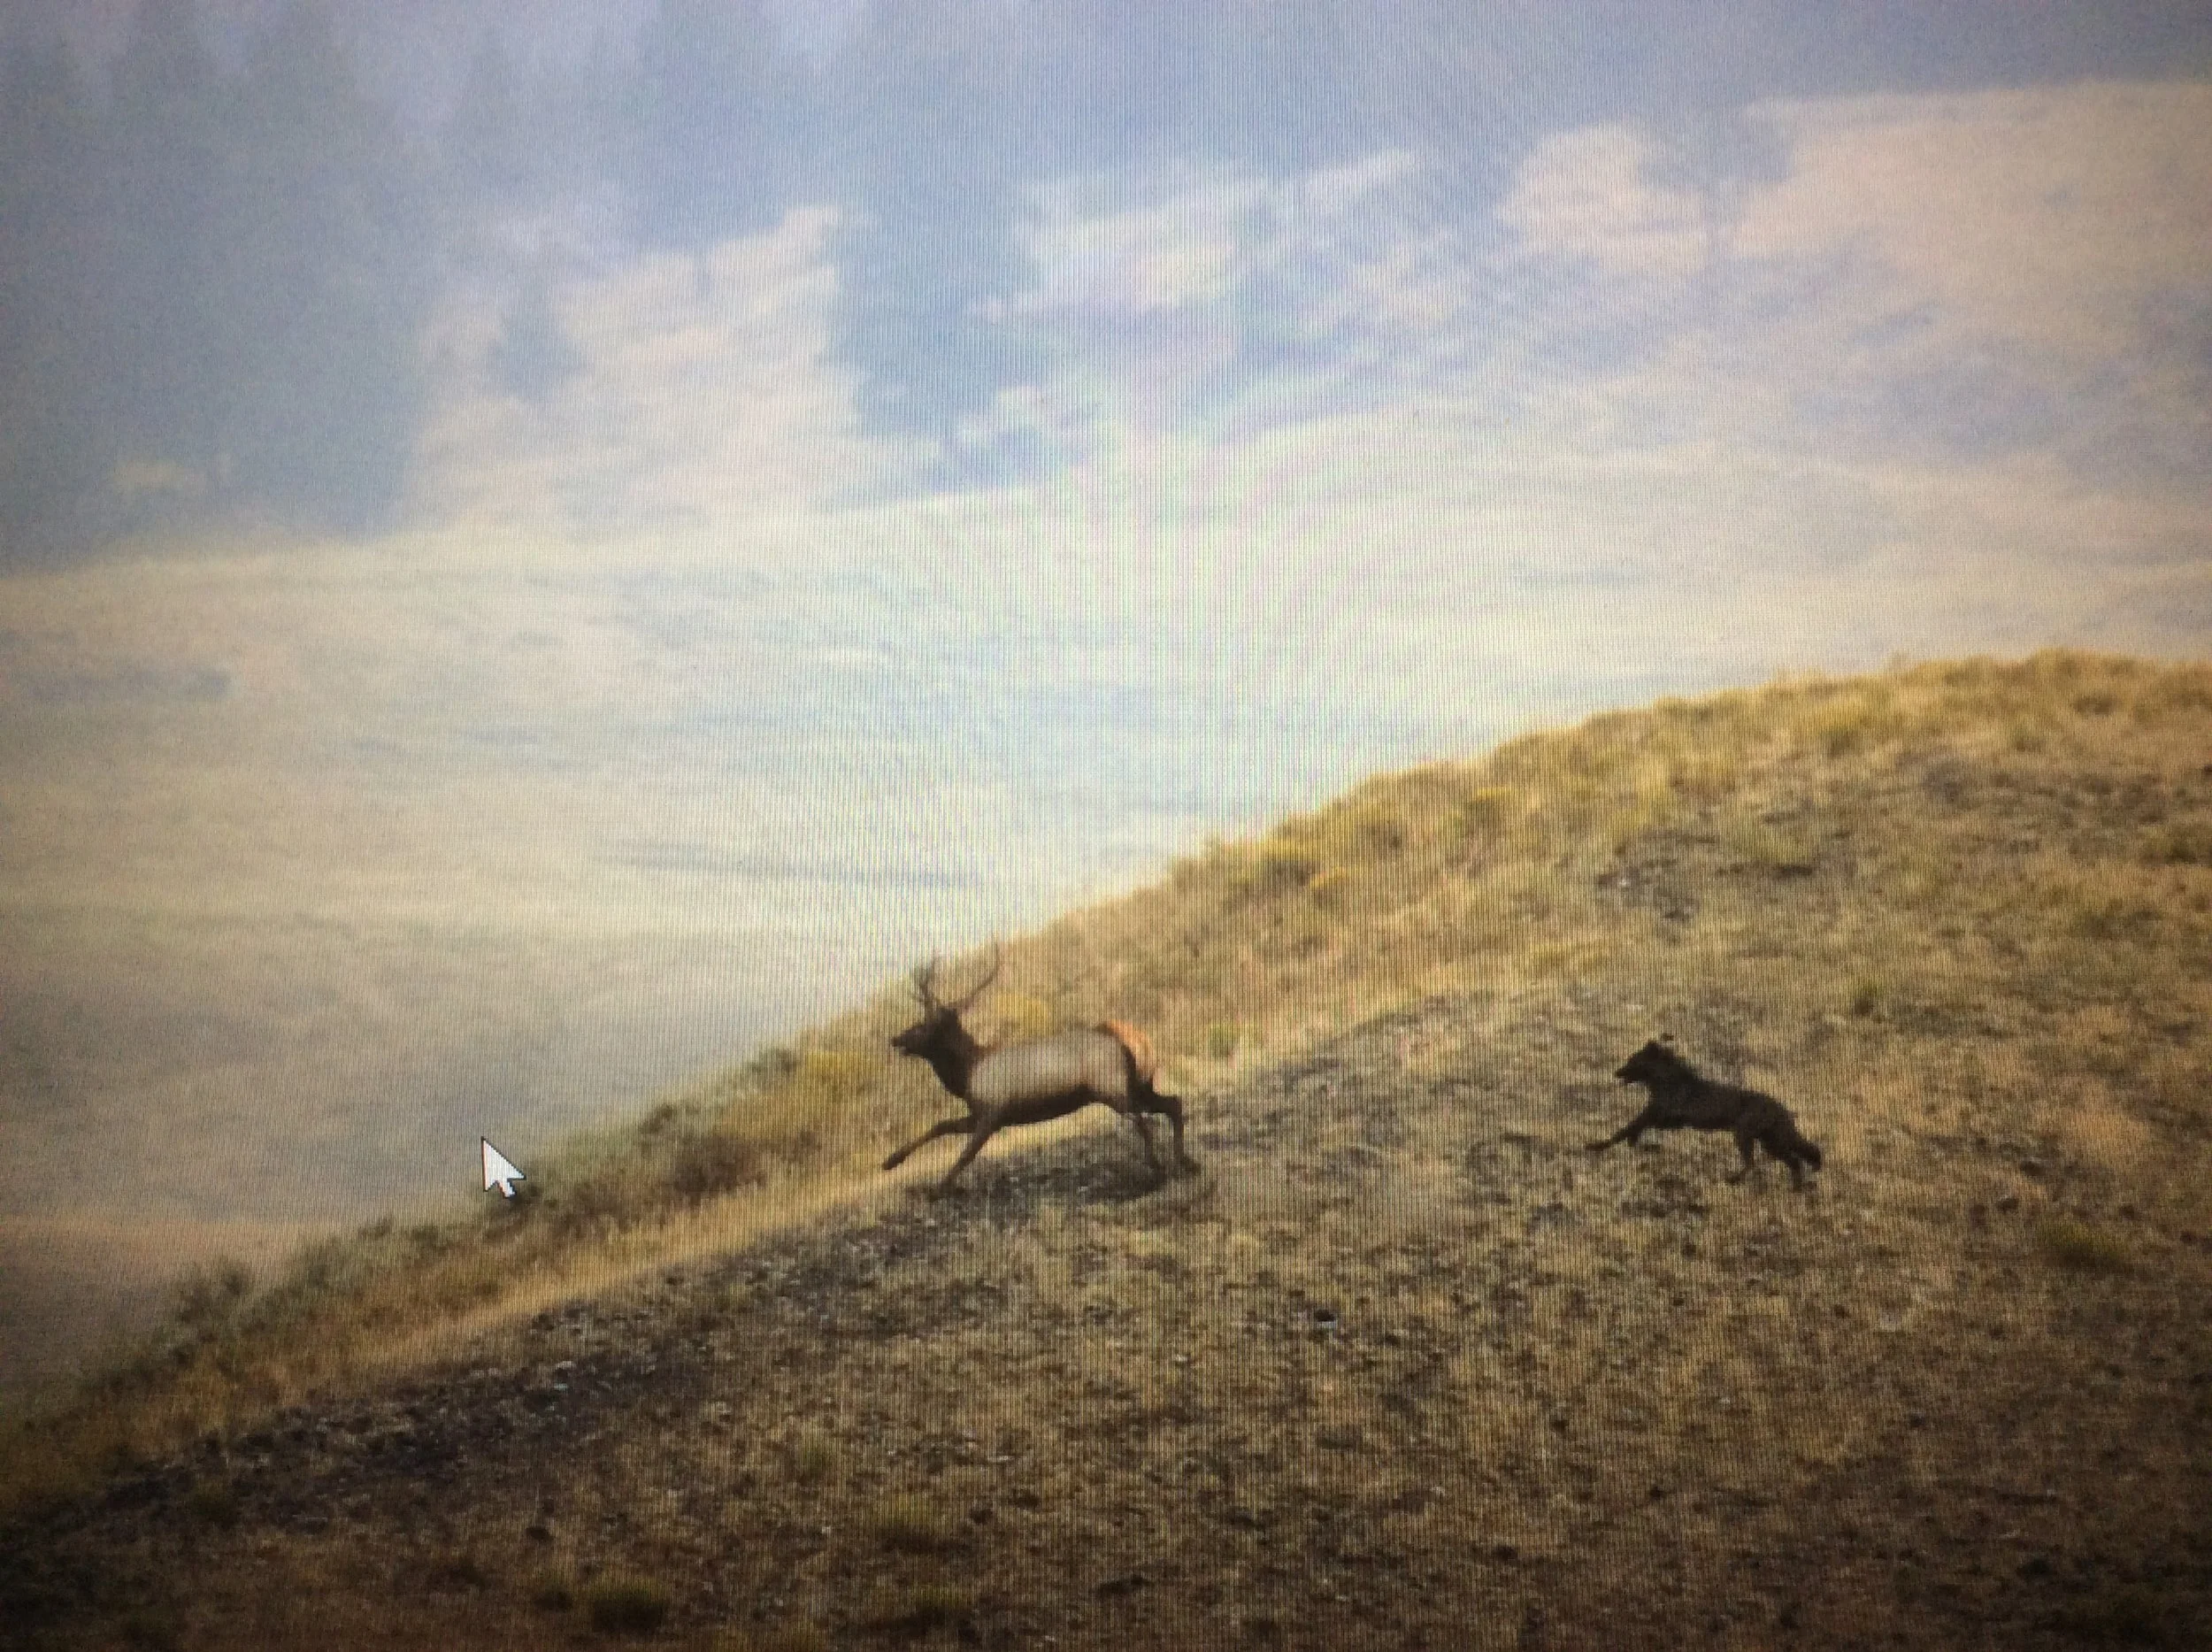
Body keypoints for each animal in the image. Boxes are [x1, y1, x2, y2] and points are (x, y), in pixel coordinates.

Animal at [882, 947, 1196, 1193]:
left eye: (924, 1025)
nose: (896, 1039)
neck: (966, 1074)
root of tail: (1136, 1039)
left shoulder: (993, 1114)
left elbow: (966, 1154)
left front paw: (937, 1190)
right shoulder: (983, 1114)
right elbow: (941, 1126)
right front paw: (890, 1161)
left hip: (1113, 1088)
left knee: (1144, 1121)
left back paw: (1157, 1176)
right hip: (1140, 1085)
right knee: (1173, 1103)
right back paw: (1186, 1163)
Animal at [1587, 1039, 1823, 1187]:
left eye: (1632, 1060)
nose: (1616, 1072)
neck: (1664, 1080)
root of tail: (1781, 1108)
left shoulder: (1664, 1117)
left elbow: (1629, 1127)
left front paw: (1597, 1145)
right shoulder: (1663, 1119)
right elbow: (1634, 1127)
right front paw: (1632, 1143)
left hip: (1749, 1136)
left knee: (1759, 1162)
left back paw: (1734, 1180)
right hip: (1770, 1140)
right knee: (1797, 1158)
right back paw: (1798, 1186)